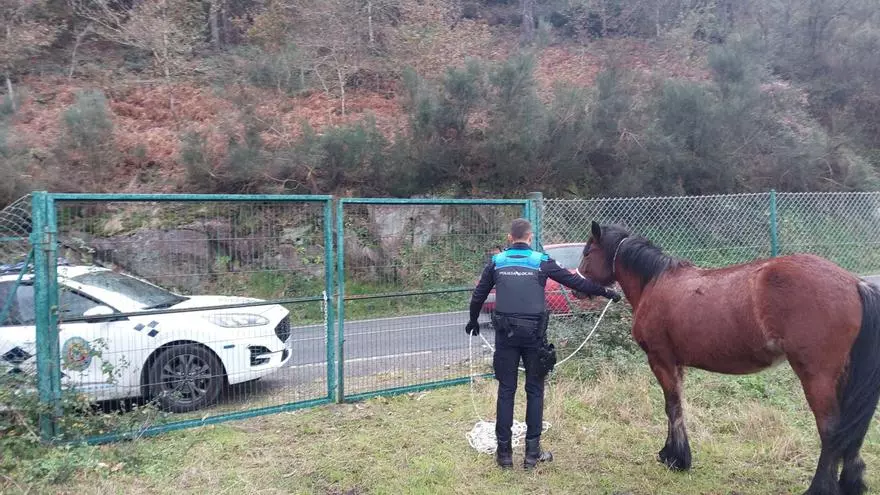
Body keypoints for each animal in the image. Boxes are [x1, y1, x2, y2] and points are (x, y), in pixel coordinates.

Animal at [575, 221, 880, 495]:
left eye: (588, 252)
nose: (577, 287)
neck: (655, 282)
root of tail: (855, 283)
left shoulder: (661, 360)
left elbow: (671, 407)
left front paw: (675, 458)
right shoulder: (677, 364)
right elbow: (679, 405)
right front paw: (675, 455)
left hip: (817, 377)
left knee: (830, 429)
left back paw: (819, 488)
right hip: (842, 376)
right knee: (851, 430)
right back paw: (850, 484)